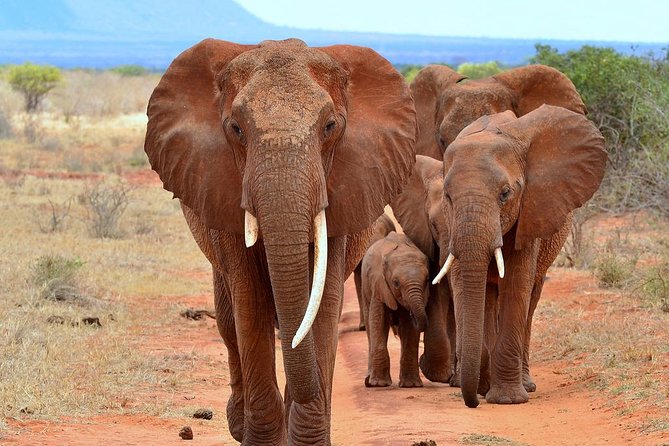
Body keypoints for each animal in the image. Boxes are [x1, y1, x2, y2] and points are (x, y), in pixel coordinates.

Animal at [144, 38, 416, 444]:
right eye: (236, 129)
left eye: (330, 127)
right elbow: (250, 303)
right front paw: (264, 439)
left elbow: (323, 304)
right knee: (229, 324)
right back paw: (239, 424)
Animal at [361, 231, 430, 388]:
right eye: (396, 283)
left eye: (427, 280)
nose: (414, 315)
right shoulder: (378, 284)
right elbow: (378, 320)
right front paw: (378, 384)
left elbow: (409, 328)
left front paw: (411, 385)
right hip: (365, 289)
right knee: (370, 326)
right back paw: (369, 380)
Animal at [394, 105, 607, 408]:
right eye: (448, 197)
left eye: (505, 194)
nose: (472, 402)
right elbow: (465, 288)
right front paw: (483, 387)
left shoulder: (529, 214)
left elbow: (516, 286)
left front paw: (507, 399)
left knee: (530, 299)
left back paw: (525, 384)